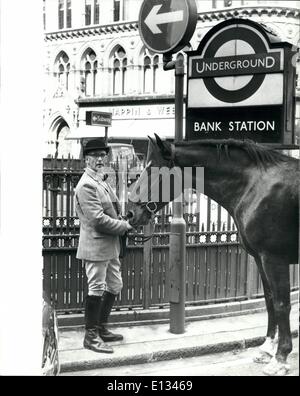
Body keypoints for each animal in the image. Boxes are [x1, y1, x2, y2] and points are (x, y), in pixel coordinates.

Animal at [127, 134, 300, 378]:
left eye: (153, 170)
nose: (130, 213)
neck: (256, 186)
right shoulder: (260, 258)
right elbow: (269, 300)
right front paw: (267, 348)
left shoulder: (274, 259)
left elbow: (282, 303)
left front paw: (281, 357)